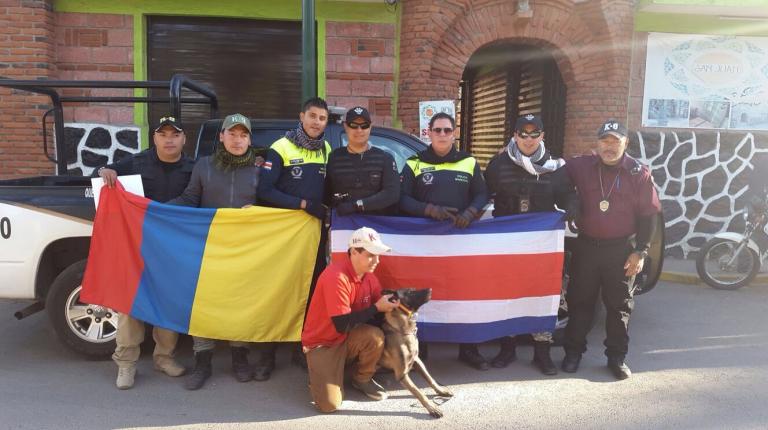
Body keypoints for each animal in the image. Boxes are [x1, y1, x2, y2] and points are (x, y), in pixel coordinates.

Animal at [377, 288, 454, 418]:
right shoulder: (402, 374)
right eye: (409, 292)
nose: (430, 289)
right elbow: (418, 392)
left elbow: (430, 378)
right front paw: (432, 408)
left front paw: (441, 391)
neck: (403, 330)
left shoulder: (417, 360)